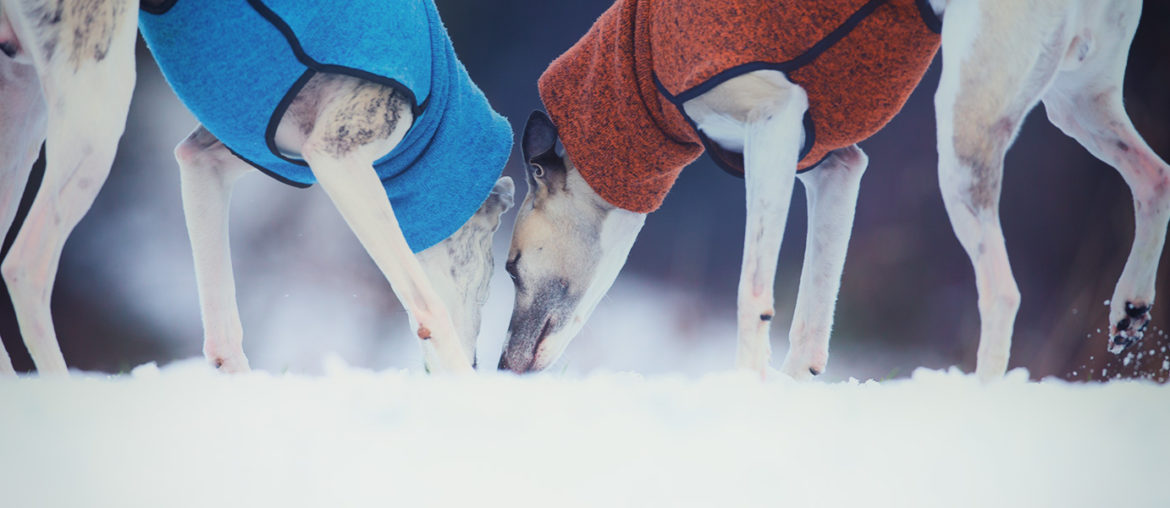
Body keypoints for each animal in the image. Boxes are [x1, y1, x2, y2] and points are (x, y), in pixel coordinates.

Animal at [1, 0, 512, 372]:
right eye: (488, 286)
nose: (478, 363)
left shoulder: (206, 159)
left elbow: (223, 334)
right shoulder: (338, 156)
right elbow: (429, 309)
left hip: (23, 109)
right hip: (97, 97)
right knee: (25, 267)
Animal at [498, 0, 1165, 381]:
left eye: (510, 266)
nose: (500, 366)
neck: (641, 70)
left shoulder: (772, 123)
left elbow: (754, 292)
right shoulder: (835, 166)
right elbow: (813, 319)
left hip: (965, 131)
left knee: (1001, 292)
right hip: (1077, 101)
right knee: (1155, 177)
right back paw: (1131, 303)